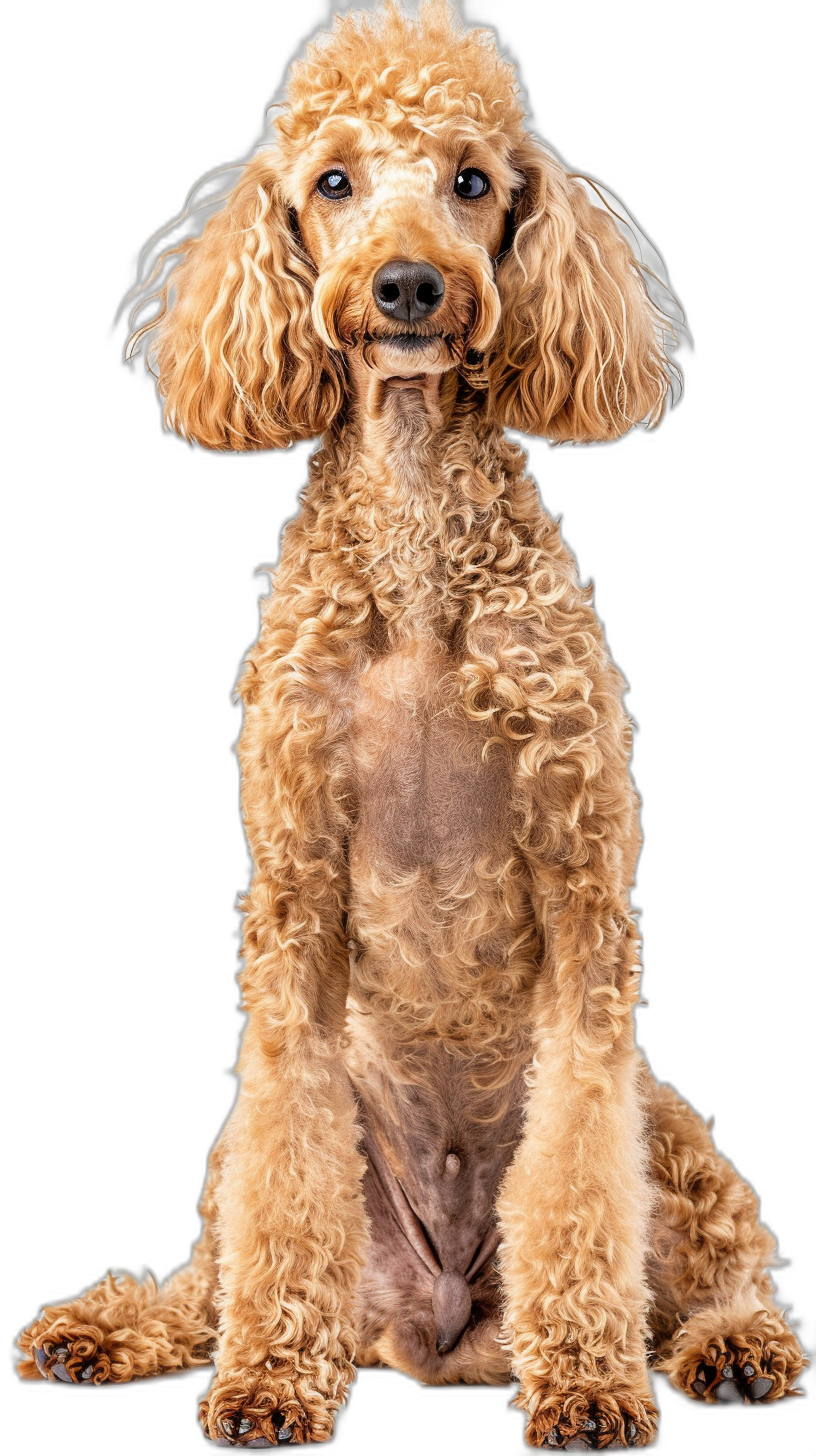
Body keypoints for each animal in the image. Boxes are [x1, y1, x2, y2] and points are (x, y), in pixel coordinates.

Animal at [17, 5, 804, 1450]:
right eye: (332, 182)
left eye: (473, 182)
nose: (407, 287)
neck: (419, 524)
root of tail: (439, 1333)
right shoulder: (294, 889)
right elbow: (285, 1183)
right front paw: (269, 1381)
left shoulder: (583, 885)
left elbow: (580, 1173)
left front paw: (593, 1382)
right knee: (210, 1270)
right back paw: (109, 1330)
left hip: (671, 1123)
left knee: (723, 1257)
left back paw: (729, 1349)